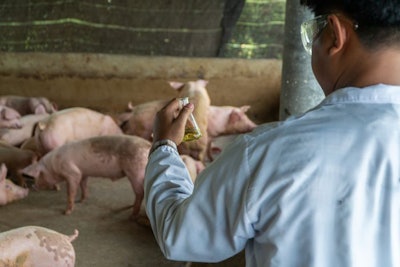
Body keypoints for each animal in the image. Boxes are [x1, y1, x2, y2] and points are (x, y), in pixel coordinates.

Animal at [22, 136, 152, 218]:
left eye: (38, 175)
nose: (33, 187)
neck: (54, 165)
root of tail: (148, 145)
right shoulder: (83, 173)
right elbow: (83, 185)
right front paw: (82, 200)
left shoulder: (72, 173)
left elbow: (70, 192)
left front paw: (66, 212)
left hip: (135, 172)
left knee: (140, 192)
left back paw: (133, 215)